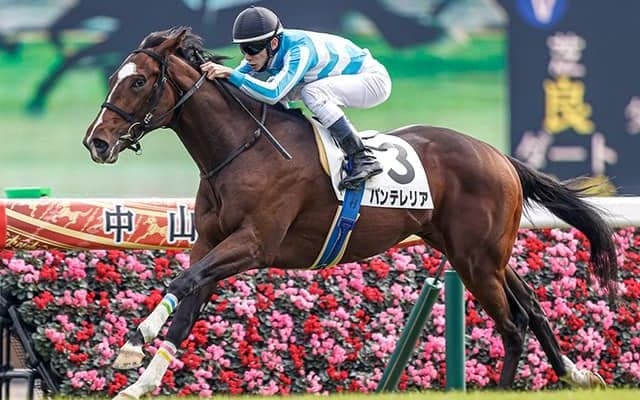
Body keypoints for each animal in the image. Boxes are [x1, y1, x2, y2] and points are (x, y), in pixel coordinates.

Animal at [83, 27, 617, 399]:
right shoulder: (211, 244)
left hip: (477, 261)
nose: (97, 142)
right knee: (532, 308)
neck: (242, 150)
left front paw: (134, 340)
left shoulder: (253, 245)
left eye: (138, 81)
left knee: (513, 324)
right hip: (479, 255)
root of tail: (499, 156)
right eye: (112, 79)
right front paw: (139, 378)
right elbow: (187, 301)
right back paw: (576, 373)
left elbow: (182, 282)